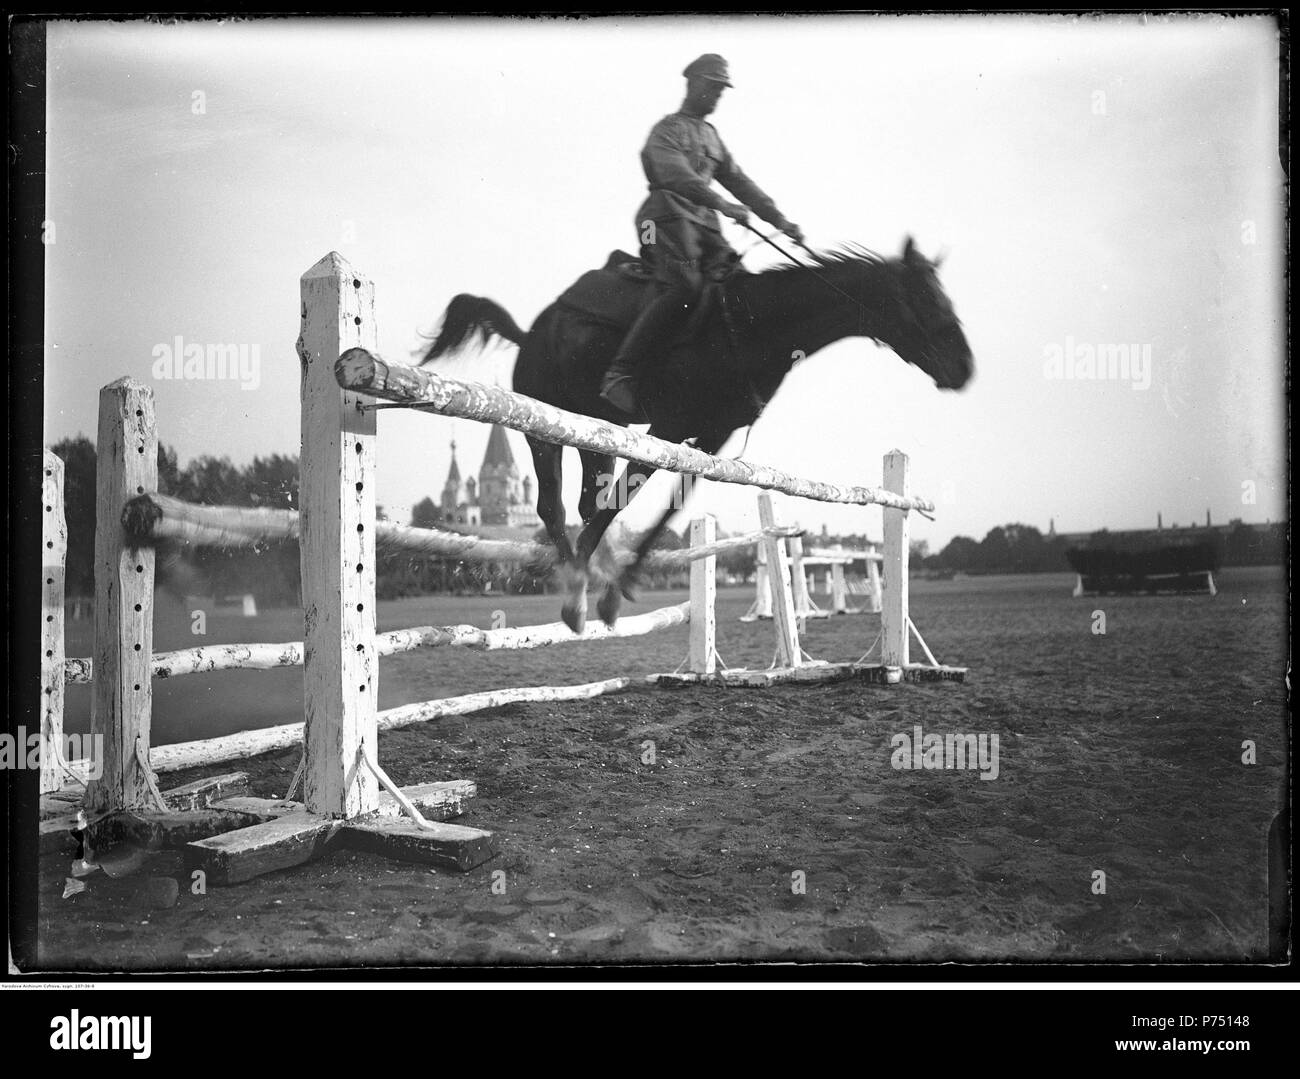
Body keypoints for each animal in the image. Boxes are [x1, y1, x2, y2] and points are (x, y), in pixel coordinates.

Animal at [421, 239, 972, 634]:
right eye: (925, 297)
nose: (965, 367)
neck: (750, 325)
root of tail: (531, 331)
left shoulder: (708, 436)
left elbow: (669, 507)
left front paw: (616, 588)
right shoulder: (668, 426)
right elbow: (629, 500)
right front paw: (591, 589)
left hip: (598, 433)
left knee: (585, 502)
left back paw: (593, 568)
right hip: (546, 427)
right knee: (552, 506)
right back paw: (574, 581)